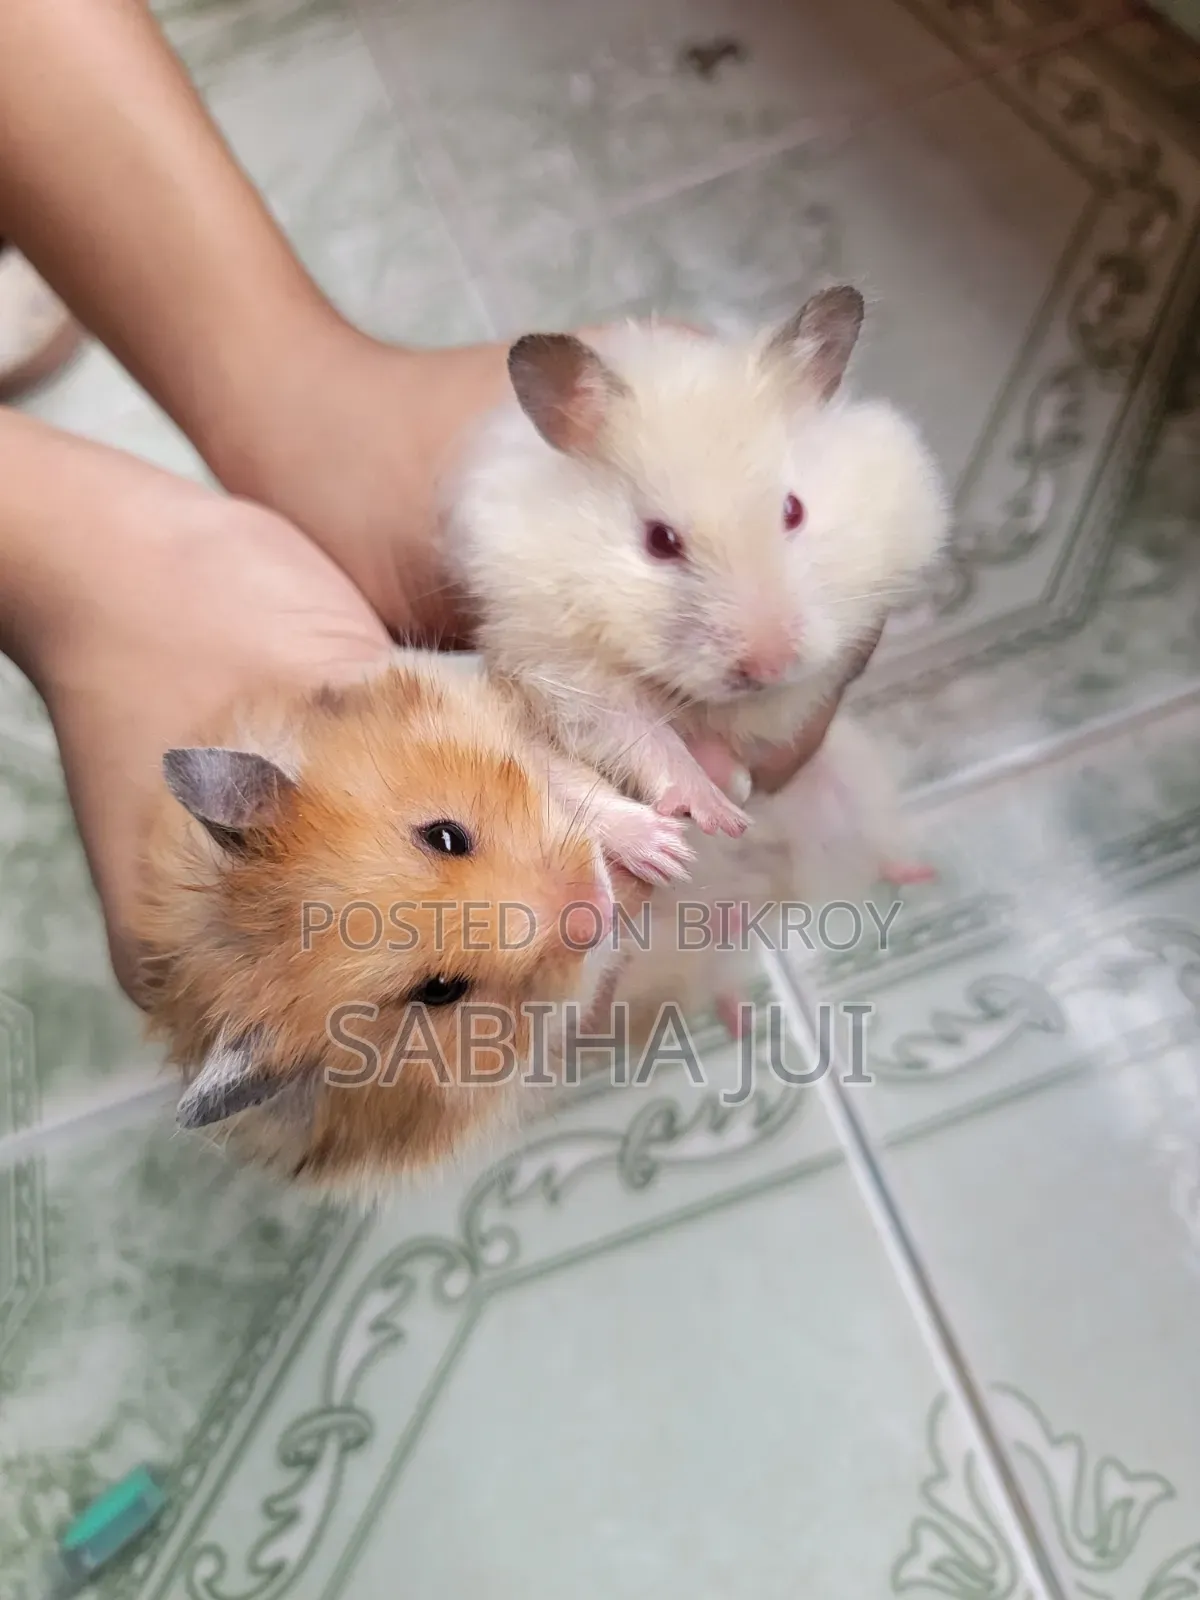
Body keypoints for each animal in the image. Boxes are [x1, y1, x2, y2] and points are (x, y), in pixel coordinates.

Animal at [133, 651, 685, 1198]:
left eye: (445, 836)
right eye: (439, 990)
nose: (596, 907)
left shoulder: (501, 720)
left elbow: (575, 784)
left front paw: (671, 853)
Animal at [451, 287, 949, 1035]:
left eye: (793, 510)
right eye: (660, 541)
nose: (767, 662)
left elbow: (791, 695)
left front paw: (732, 780)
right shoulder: (555, 668)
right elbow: (643, 736)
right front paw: (716, 810)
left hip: (853, 797)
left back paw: (917, 879)